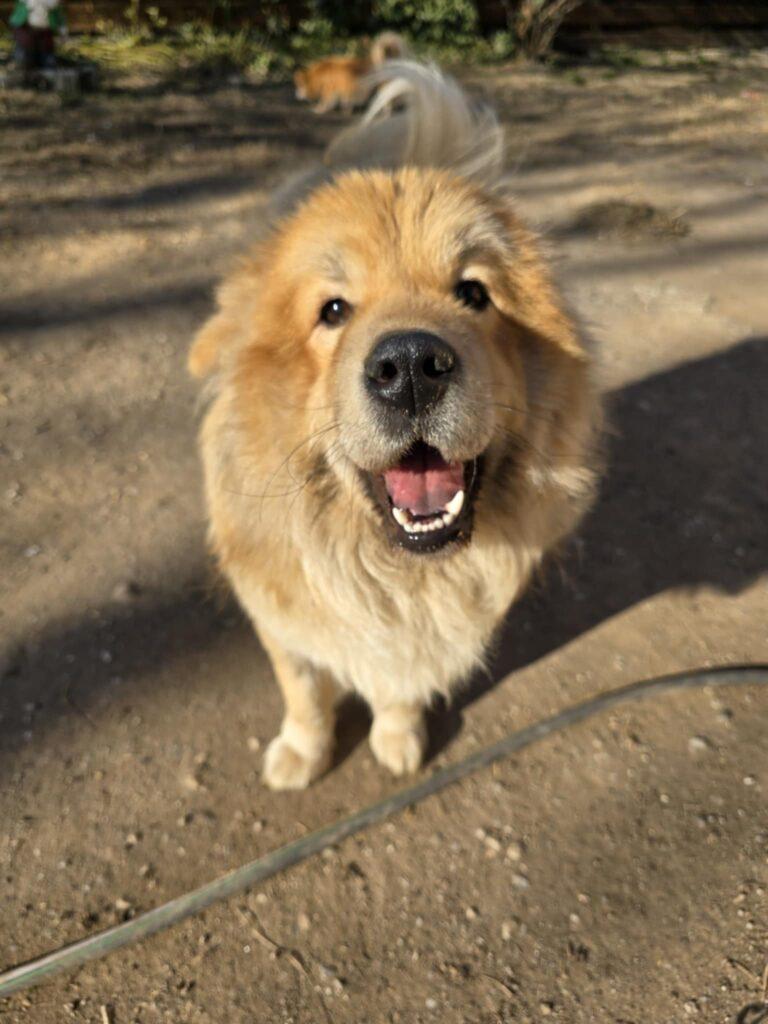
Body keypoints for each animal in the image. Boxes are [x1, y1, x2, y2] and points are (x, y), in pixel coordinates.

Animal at [189, 63, 601, 790]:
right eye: (333, 310)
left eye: (473, 294)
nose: (410, 366)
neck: (394, 575)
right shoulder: (282, 619)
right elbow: (304, 691)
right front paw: (301, 755)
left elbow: (399, 687)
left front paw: (398, 740)